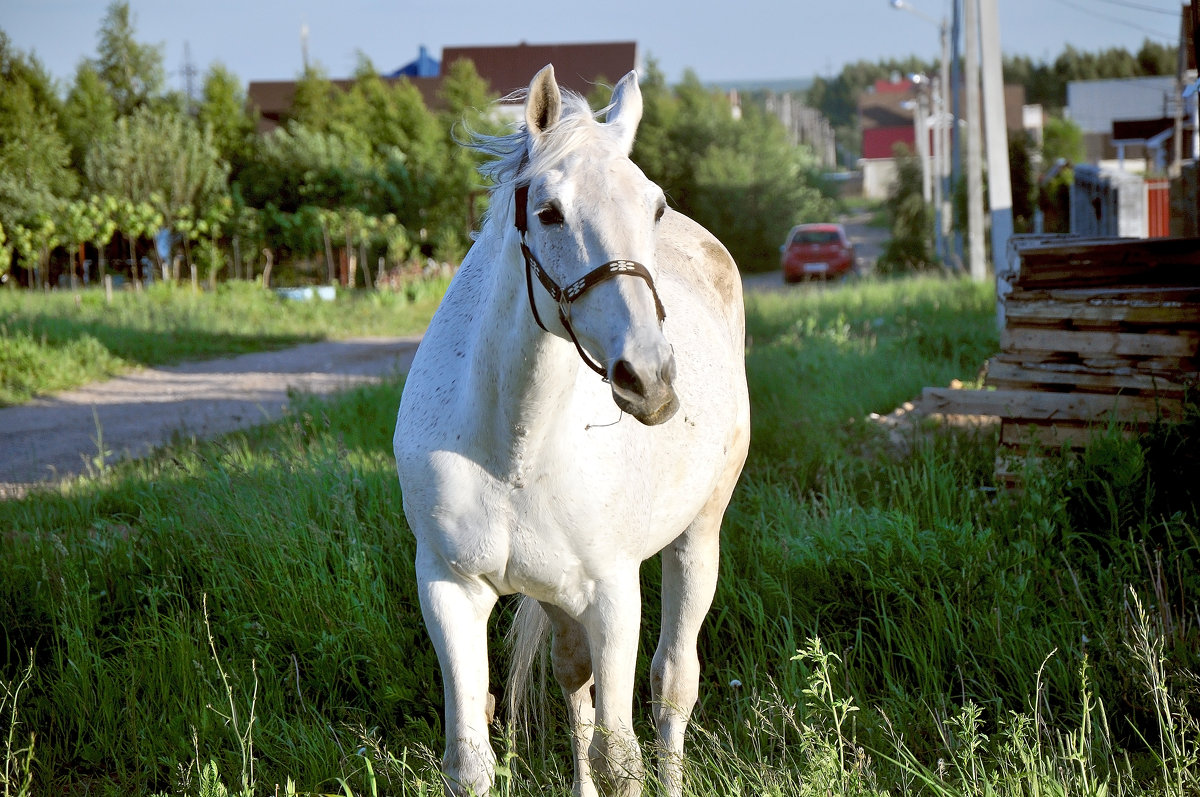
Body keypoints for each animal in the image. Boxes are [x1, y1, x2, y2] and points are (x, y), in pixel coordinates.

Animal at [393, 68, 748, 797]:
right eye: (550, 212)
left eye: (655, 208)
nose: (650, 377)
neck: (513, 449)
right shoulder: (448, 589)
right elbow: (472, 760)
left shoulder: (613, 596)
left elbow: (621, 758)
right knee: (572, 681)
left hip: (697, 537)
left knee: (672, 685)